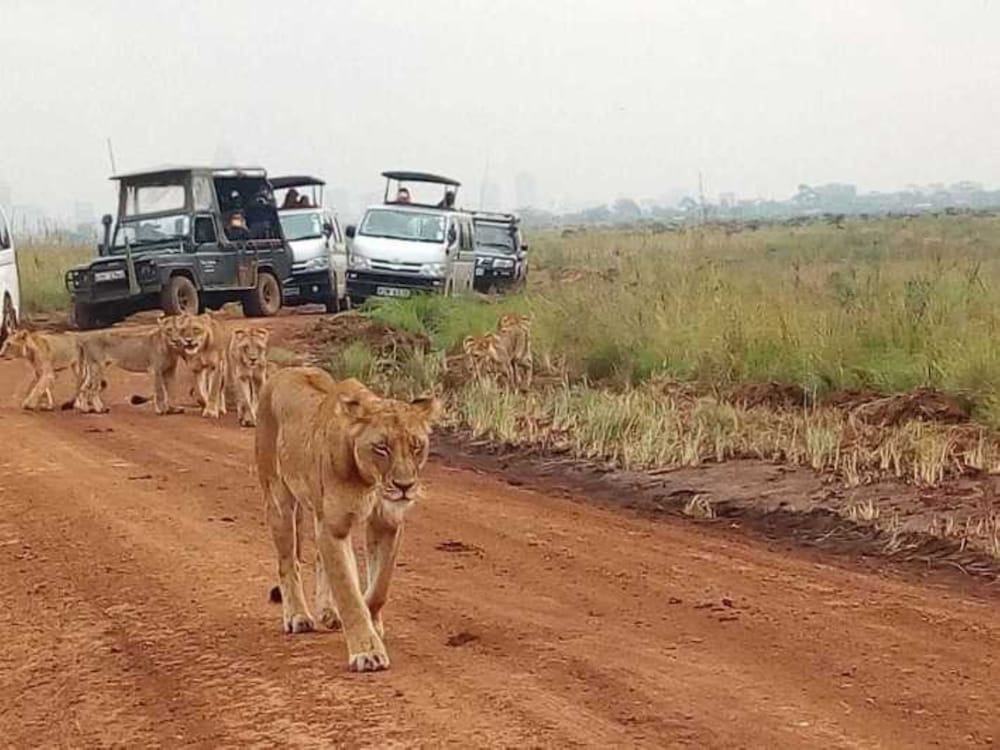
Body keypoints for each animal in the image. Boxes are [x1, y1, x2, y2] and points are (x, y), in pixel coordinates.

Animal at [256, 368, 440, 673]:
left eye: (417, 446)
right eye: (381, 447)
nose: (404, 486)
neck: (369, 482)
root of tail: (284, 370)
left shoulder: (387, 522)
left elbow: (378, 587)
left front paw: (372, 620)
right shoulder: (334, 527)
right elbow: (348, 591)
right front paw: (367, 650)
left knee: (319, 558)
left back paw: (328, 612)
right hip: (279, 500)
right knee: (288, 562)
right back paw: (298, 616)